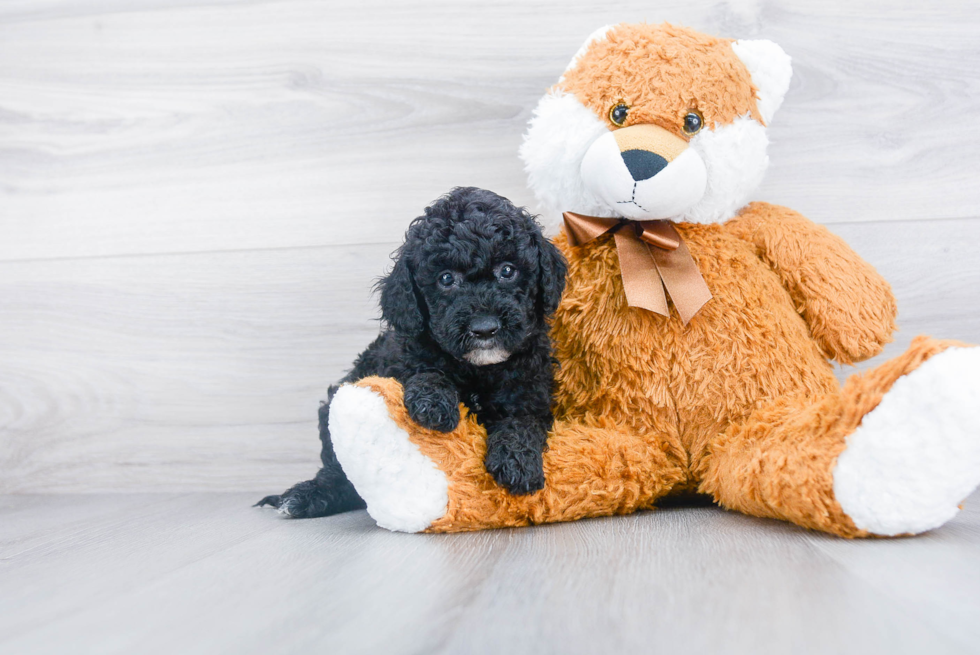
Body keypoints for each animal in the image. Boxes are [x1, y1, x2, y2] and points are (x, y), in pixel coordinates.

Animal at [255, 187, 568, 520]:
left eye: (508, 271)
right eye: (446, 278)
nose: (484, 328)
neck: (477, 369)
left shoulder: (530, 392)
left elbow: (522, 422)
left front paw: (517, 461)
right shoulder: (401, 358)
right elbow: (424, 371)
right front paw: (435, 403)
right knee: (339, 473)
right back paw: (305, 496)